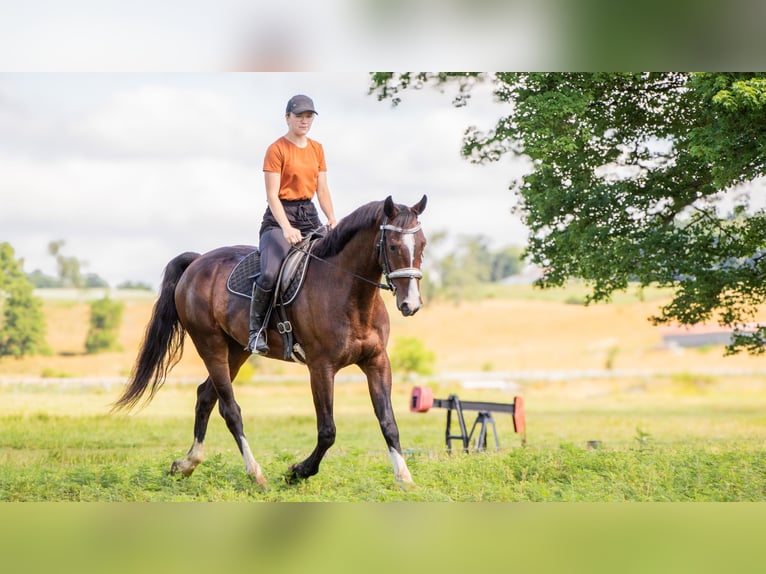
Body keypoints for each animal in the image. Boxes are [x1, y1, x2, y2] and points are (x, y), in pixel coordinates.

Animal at [114, 196, 428, 488]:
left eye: (422, 245)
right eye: (393, 246)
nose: (411, 305)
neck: (350, 293)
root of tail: (198, 262)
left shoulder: (377, 361)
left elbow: (388, 422)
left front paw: (405, 478)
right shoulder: (321, 367)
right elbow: (327, 431)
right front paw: (298, 472)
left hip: (236, 351)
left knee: (205, 396)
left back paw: (187, 464)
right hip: (210, 345)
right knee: (230, 409)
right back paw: (255, 474)